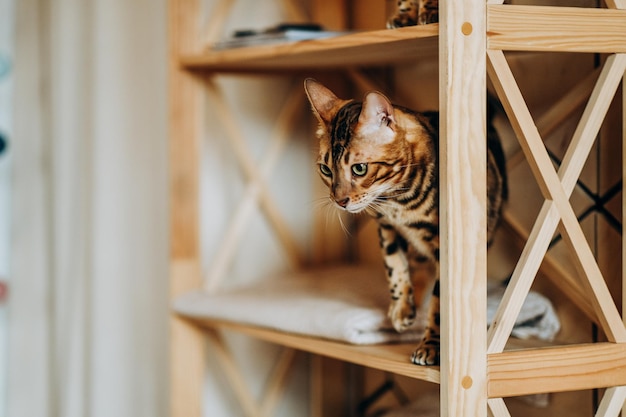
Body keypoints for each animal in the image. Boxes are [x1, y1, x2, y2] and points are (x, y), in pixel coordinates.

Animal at [304, 79, 508, 364]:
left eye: (359, 168)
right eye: (326, 169)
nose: (339, 200)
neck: (397, 203)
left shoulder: (444, 245)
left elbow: (440, 303)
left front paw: (431, 346)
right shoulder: (386, 227)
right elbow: (394, 265)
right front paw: (401, 308)